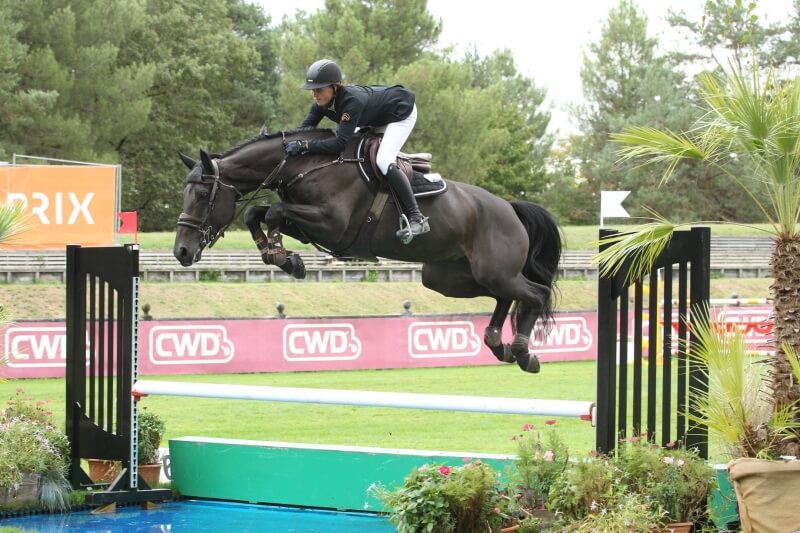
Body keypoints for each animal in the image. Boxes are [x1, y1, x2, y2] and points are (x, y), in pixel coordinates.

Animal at [173, 128, 562, 373]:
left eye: (203, 194)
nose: (181, 251)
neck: (305, 166)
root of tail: (510, 207)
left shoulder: (333, 225)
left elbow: (272, 211)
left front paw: (283, 256)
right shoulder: (314, 225)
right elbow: (258, 212)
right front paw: (283, 257)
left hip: (491, 270)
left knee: (535, 293)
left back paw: (524, 352)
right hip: (448, 278)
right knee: (504, 295)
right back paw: (499, 344)